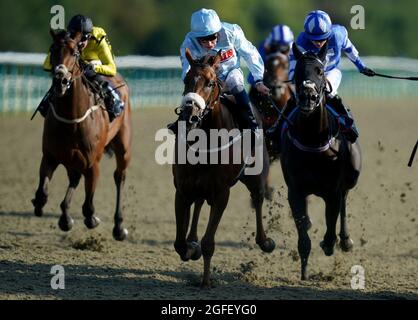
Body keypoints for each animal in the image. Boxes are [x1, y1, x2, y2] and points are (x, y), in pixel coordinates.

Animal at [31, 30, 131, 240]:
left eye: (75, 53)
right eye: (52, 50)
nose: (60, 80)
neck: (72, 118)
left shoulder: (93, 164)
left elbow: (88, 206)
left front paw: (92, 219)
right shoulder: (50, 156)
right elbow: (42, 193)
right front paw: (49, 209)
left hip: (124, 145)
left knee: (119, 176)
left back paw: (119, 227)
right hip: (72, 158)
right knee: (75, 178)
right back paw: (65, 215)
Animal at [171, 47, 276, 288]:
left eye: (210, 82)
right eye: (186, 79)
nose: (189, 116)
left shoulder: (221, 194)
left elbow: (209, 243)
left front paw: (206, 281)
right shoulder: (182, 190)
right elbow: (179, 243)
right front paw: (191, 248)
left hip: (256, 175)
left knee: (258, 198)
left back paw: (265, 241)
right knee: (199, 202)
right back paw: (192, 240)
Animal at [280, 43, 362, 280]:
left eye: (320, 71)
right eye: (298, 71)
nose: (308, 95)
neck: (313, 139)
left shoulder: (332, 190)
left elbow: (332, 219)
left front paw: (329, 243)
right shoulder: (296, 190)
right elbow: (303, 235)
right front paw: (304, 272)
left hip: (351, 177)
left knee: (344, 201)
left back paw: (345, 240)